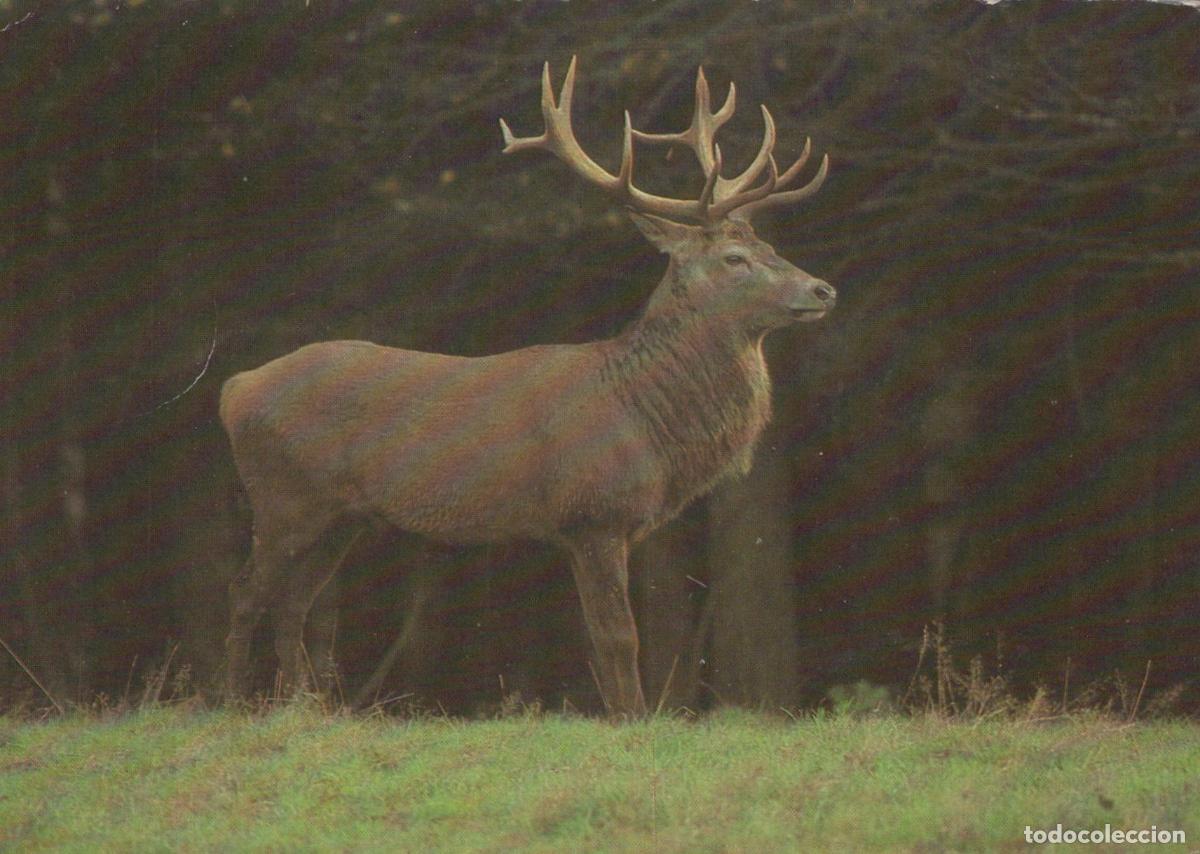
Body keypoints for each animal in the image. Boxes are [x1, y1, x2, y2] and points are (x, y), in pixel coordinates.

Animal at [219, 57, 835, 718]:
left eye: (771, 246)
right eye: (734, 259)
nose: (823, 289)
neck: (644, 418)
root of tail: (234, 389)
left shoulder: (593, 528)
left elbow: (599, 638)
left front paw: (618, 718)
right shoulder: (594, 511)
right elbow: (619, 637)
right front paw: (635, 721)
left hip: (342, 516)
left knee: (293, 602)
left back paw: (304, 707)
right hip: (283, 495)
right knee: (246, 594)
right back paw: (231, 703)